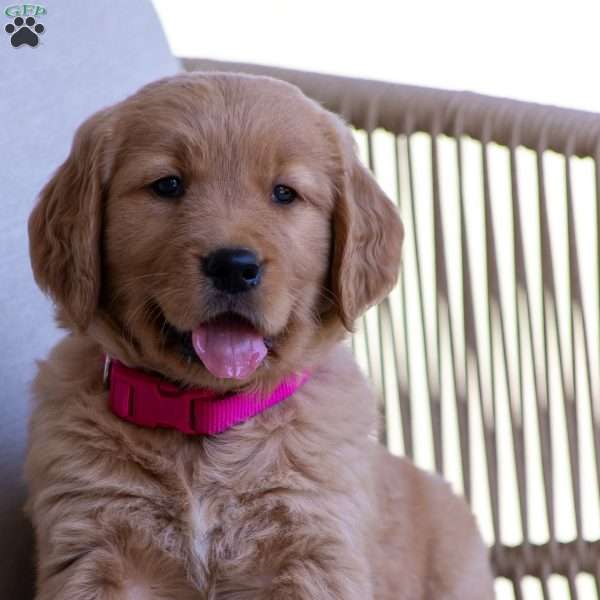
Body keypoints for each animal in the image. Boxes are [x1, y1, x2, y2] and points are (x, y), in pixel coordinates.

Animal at [25, 72, 492, 596]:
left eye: (285, 193)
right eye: (168, 184)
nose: (233, 266)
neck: (206, 423)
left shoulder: (313, 552)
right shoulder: (92, 547)